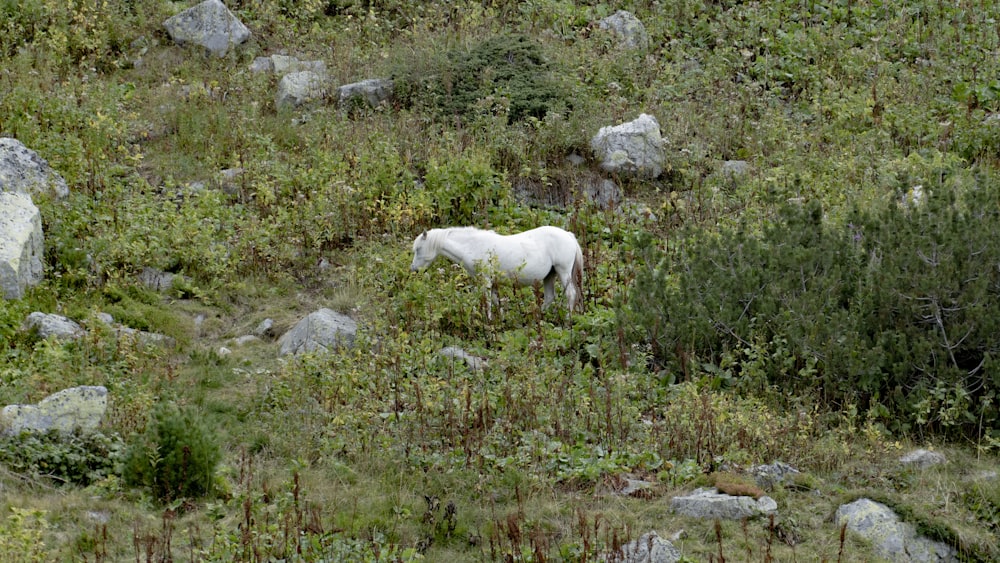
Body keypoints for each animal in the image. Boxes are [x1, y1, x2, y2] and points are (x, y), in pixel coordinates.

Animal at [412, 226, 584, 322]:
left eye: (418, 249)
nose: (414, 269)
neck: (473, 246)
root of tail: (568, 235)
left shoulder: (486, 280)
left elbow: (487, 300)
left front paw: (488, 320)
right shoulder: (493, 282)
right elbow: (496, 301)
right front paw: (501, 319)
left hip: (563, 271)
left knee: (570, 294)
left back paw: (568, 319)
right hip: (550, 275)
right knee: (549, 298)